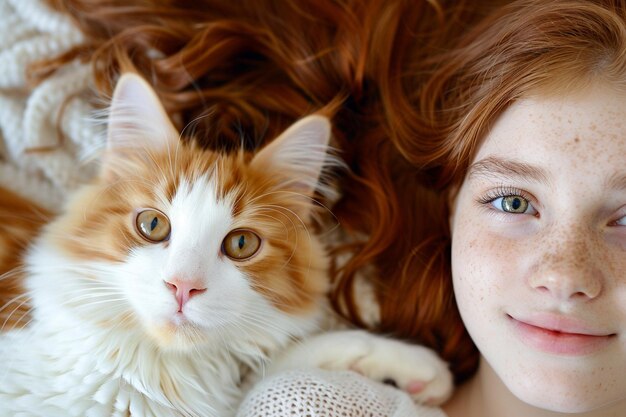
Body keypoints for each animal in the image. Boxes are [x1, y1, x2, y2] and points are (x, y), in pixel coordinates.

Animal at [0, 73, 450, 414]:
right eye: (152, 224)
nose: (183, 286)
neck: (150, 377)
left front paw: (413, 366)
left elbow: (290, 363)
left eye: (241, 244)